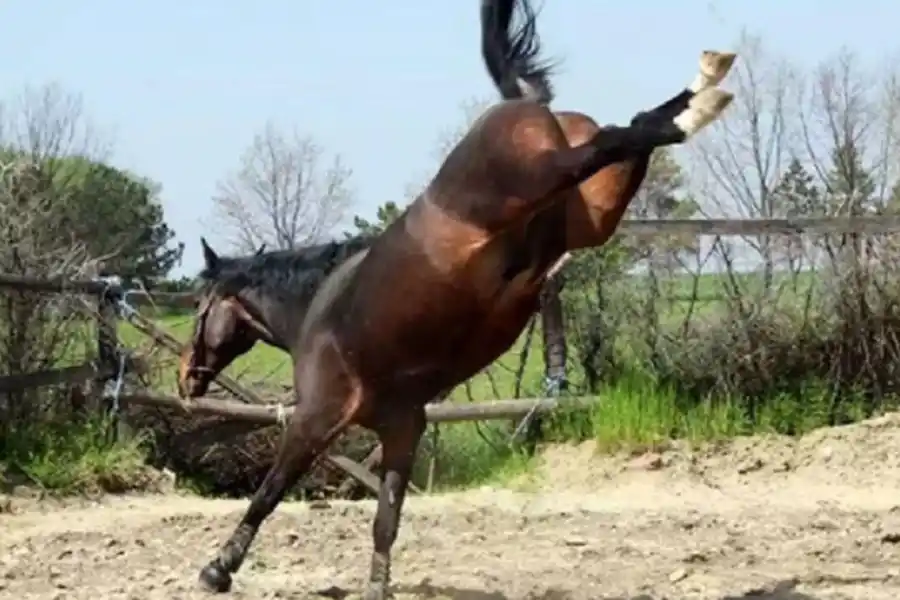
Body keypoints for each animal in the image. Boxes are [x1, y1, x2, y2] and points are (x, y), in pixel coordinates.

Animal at [180, 1, 735, 596]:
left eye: (199, 308)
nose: (186, 379)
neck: (318, 310)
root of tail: (520, 104)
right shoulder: (402, 429)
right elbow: (385, 522)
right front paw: (377, 586)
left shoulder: (316, 418)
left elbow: (267, 494)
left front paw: (217, 568)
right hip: (595, 216)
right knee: (634, 132)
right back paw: (706, 85)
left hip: (542, 177)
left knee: (620, 136)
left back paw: (703, 96)